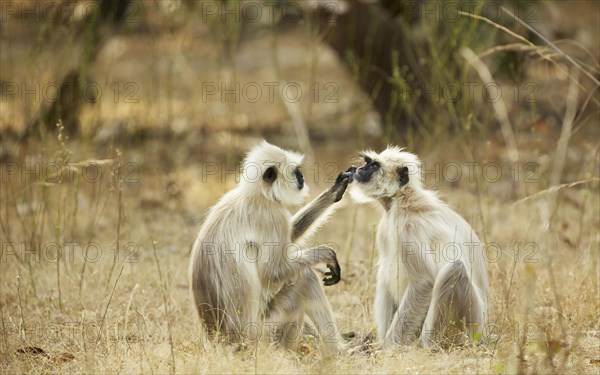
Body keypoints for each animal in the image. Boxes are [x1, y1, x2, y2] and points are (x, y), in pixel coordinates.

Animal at [190, 140, 354, 356]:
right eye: (296, 172)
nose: (302, 178)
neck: (258, 194)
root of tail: (221, 341)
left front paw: (334, 192)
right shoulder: (272, 215)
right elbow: (273, 272)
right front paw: (326, 254)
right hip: (264, 335)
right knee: (305, 278)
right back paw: (338, 353)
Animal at [352, 147, 488, 350]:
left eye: (375, 165)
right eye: (367, 162)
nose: (360, 169)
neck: (401, 197)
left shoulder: (407, 224)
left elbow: (423, 282)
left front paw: (385, 350)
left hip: (469, 325)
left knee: (454, 269)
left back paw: (430, 347)